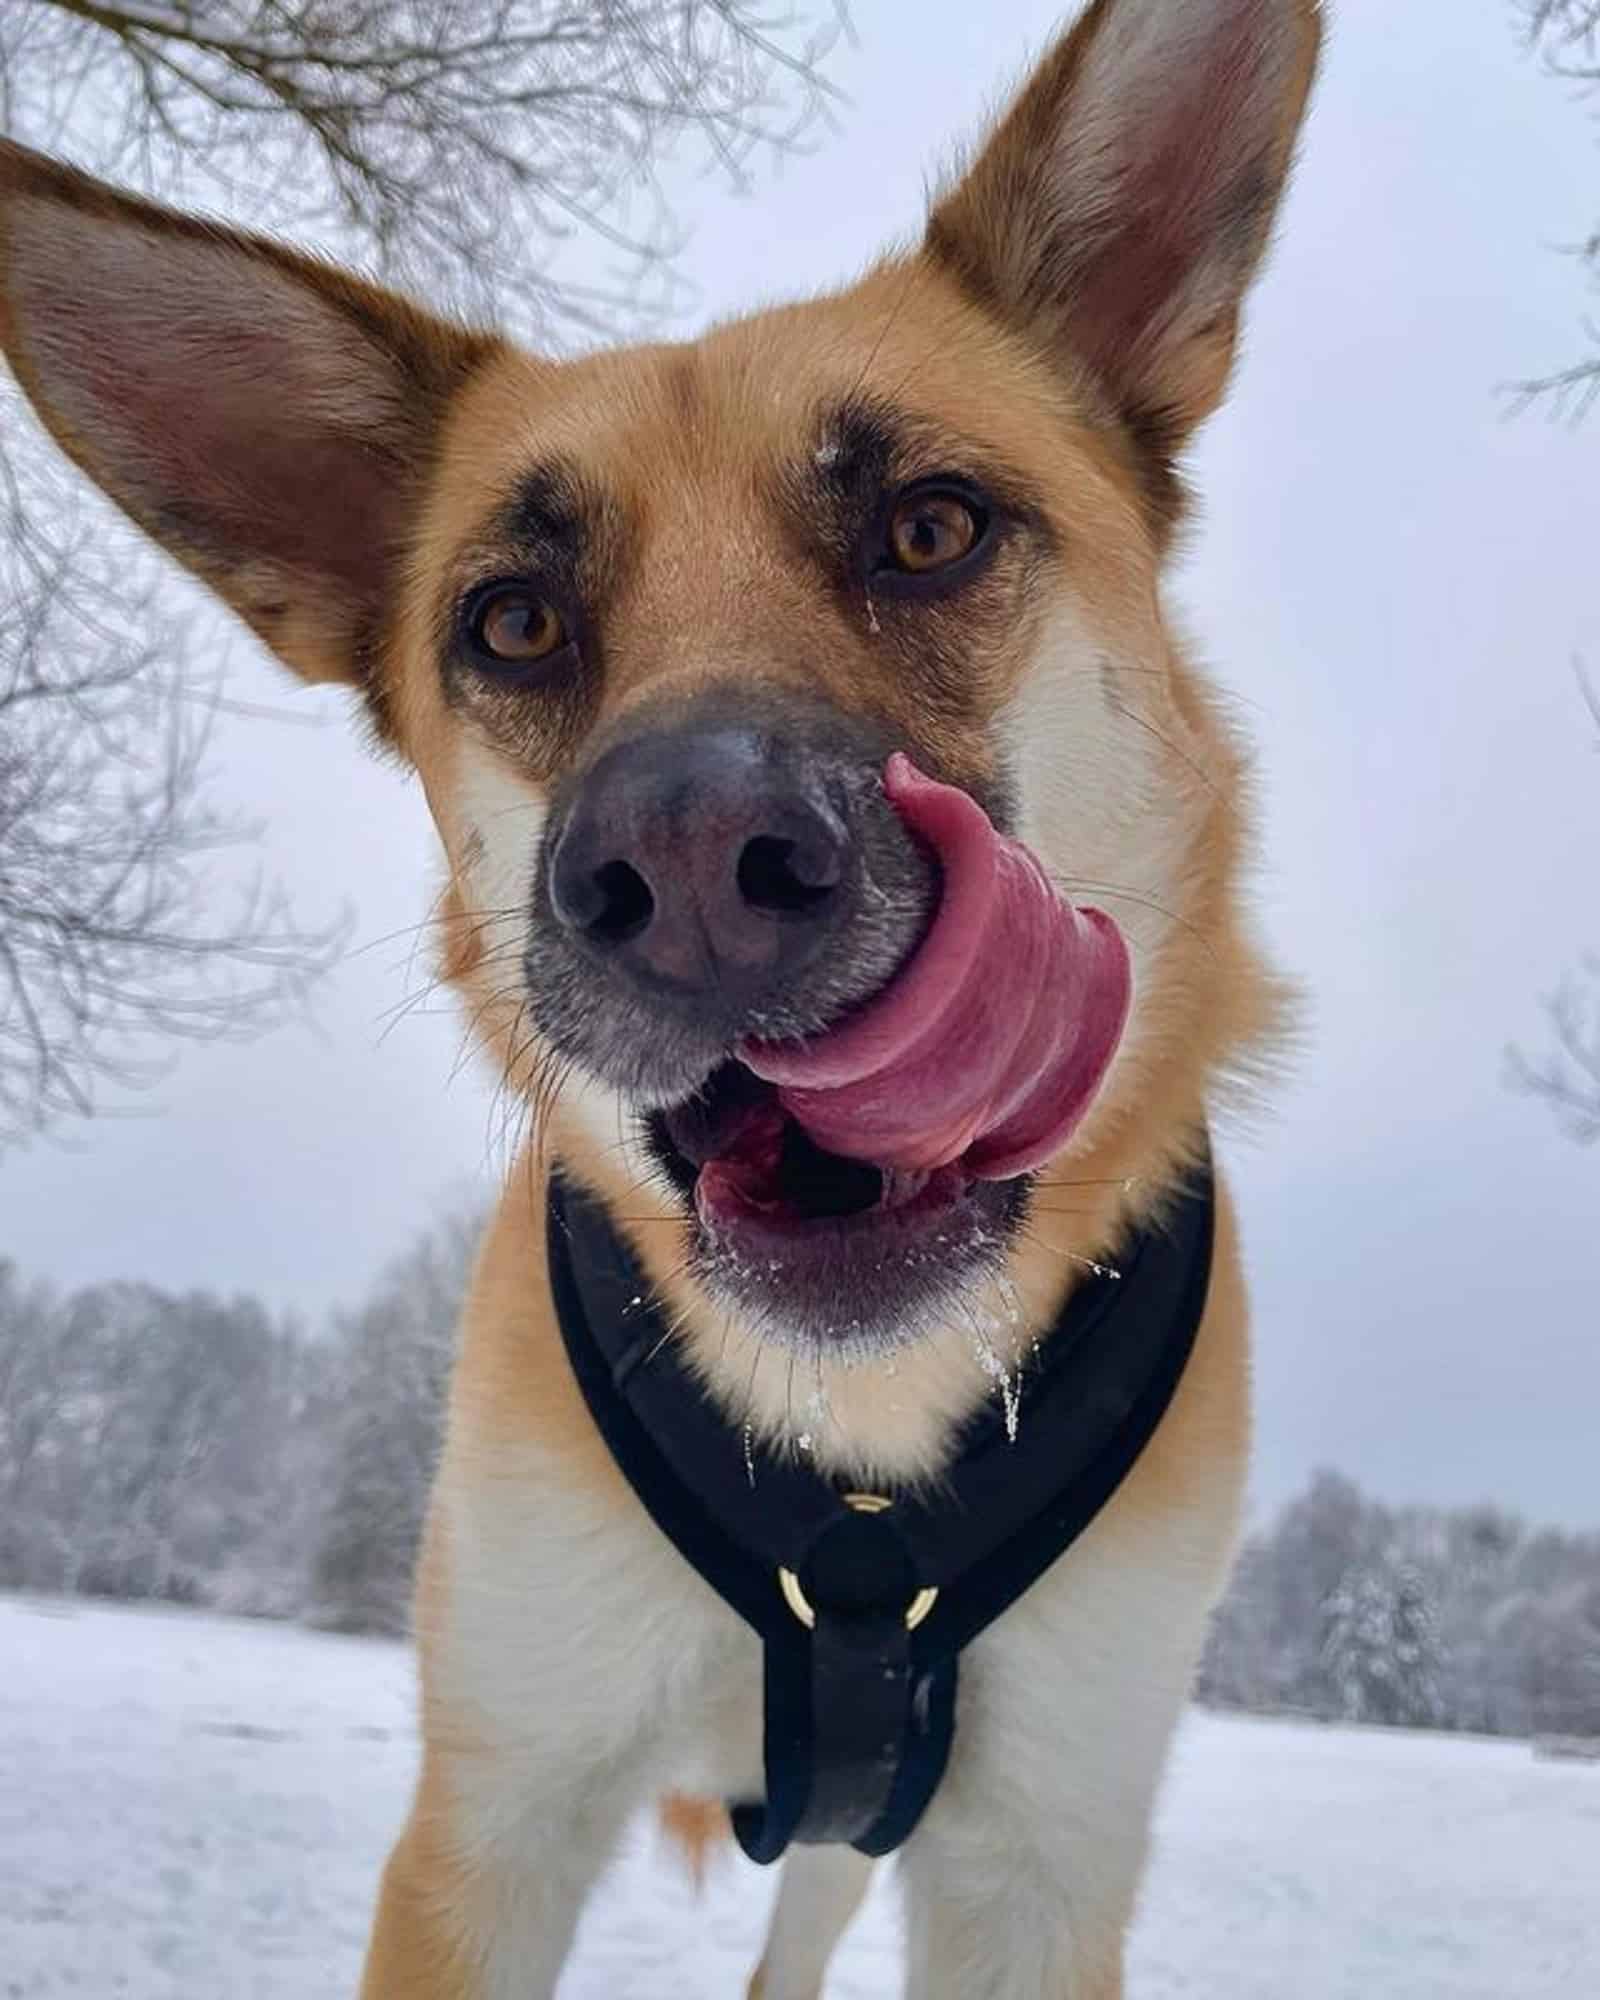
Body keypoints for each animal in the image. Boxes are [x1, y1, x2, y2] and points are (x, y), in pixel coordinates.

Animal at [0, 0, 1320, 1992]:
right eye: (515, 623)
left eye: (931, 529)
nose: (694, 868)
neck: (856, 1470)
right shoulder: (489, 1830)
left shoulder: (1036, 1864)